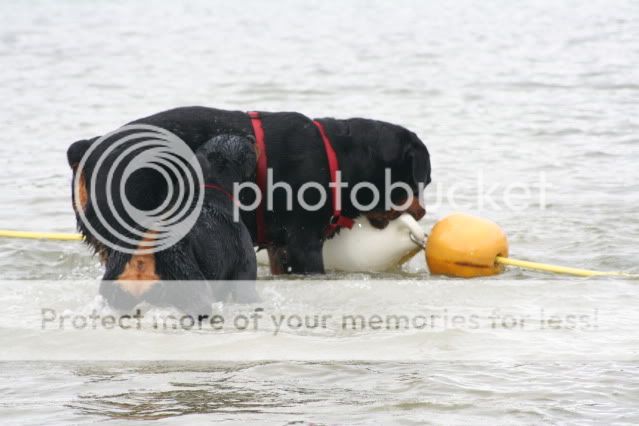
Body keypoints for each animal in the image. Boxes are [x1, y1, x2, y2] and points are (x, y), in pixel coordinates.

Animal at [67, 105, 432, 274]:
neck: (337, 157)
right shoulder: (303, 243)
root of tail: (88, 147)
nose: (422, 211)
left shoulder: (280, 247)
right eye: (418, 182)